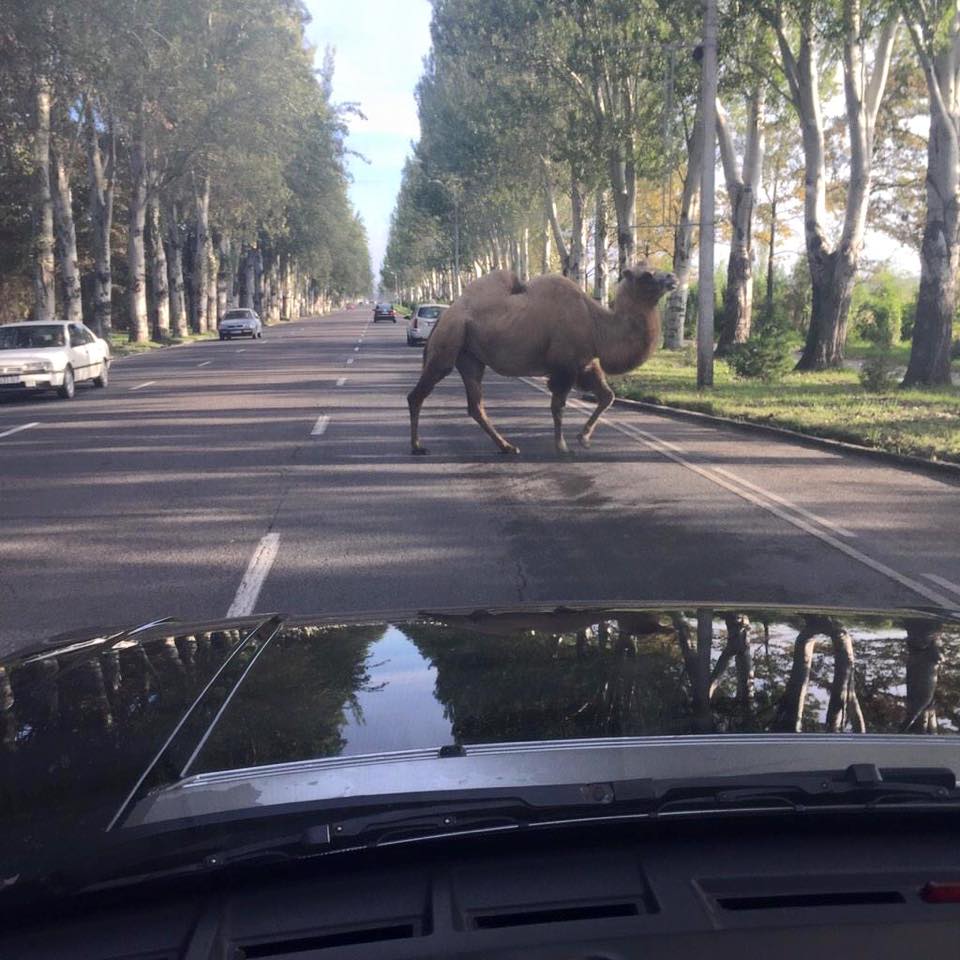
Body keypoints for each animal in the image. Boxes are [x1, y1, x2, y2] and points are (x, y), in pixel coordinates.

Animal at [404, 264, 676, 456]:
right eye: (647, 274)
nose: (672, 277)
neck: (597, 324)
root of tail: (443, 315)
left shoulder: (585, 364)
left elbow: (607, 397)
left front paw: (584, 438)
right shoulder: (565, 367)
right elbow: (558, 407)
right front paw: (563, 447)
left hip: (470, 358)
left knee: (475, 405)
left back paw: (507, 447)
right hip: (448, 344)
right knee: (418, 394)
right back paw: (417, 446)